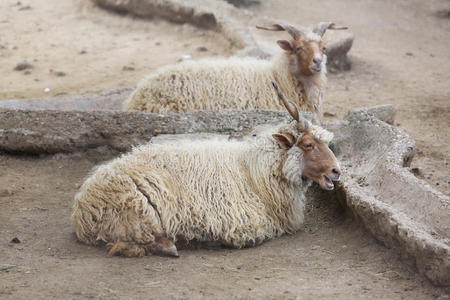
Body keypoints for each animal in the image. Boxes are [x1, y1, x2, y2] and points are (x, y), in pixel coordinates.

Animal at [73, 82, 342, 258]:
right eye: (308, 145)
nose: (336, 171)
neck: (254, 172)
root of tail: (82, 208)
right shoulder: (239, 222)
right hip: (136, 212)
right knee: (134, 242)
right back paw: (175, 245)